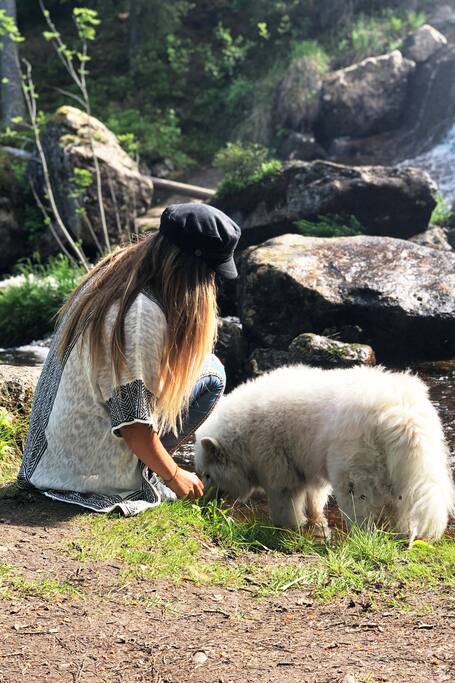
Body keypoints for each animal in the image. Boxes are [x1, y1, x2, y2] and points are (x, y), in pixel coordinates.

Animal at [195, 365, 455, 540]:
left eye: (207, 475)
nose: (201, 503)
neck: (244, 434)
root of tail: (401, 414)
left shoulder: (276, 462)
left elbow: (285, 501)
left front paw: (288, 526)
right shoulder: (307, 461)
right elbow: (315, 495)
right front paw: (315, 520)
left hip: (355, 463)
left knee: (360, 506)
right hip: (402, 467)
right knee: (400, 506)